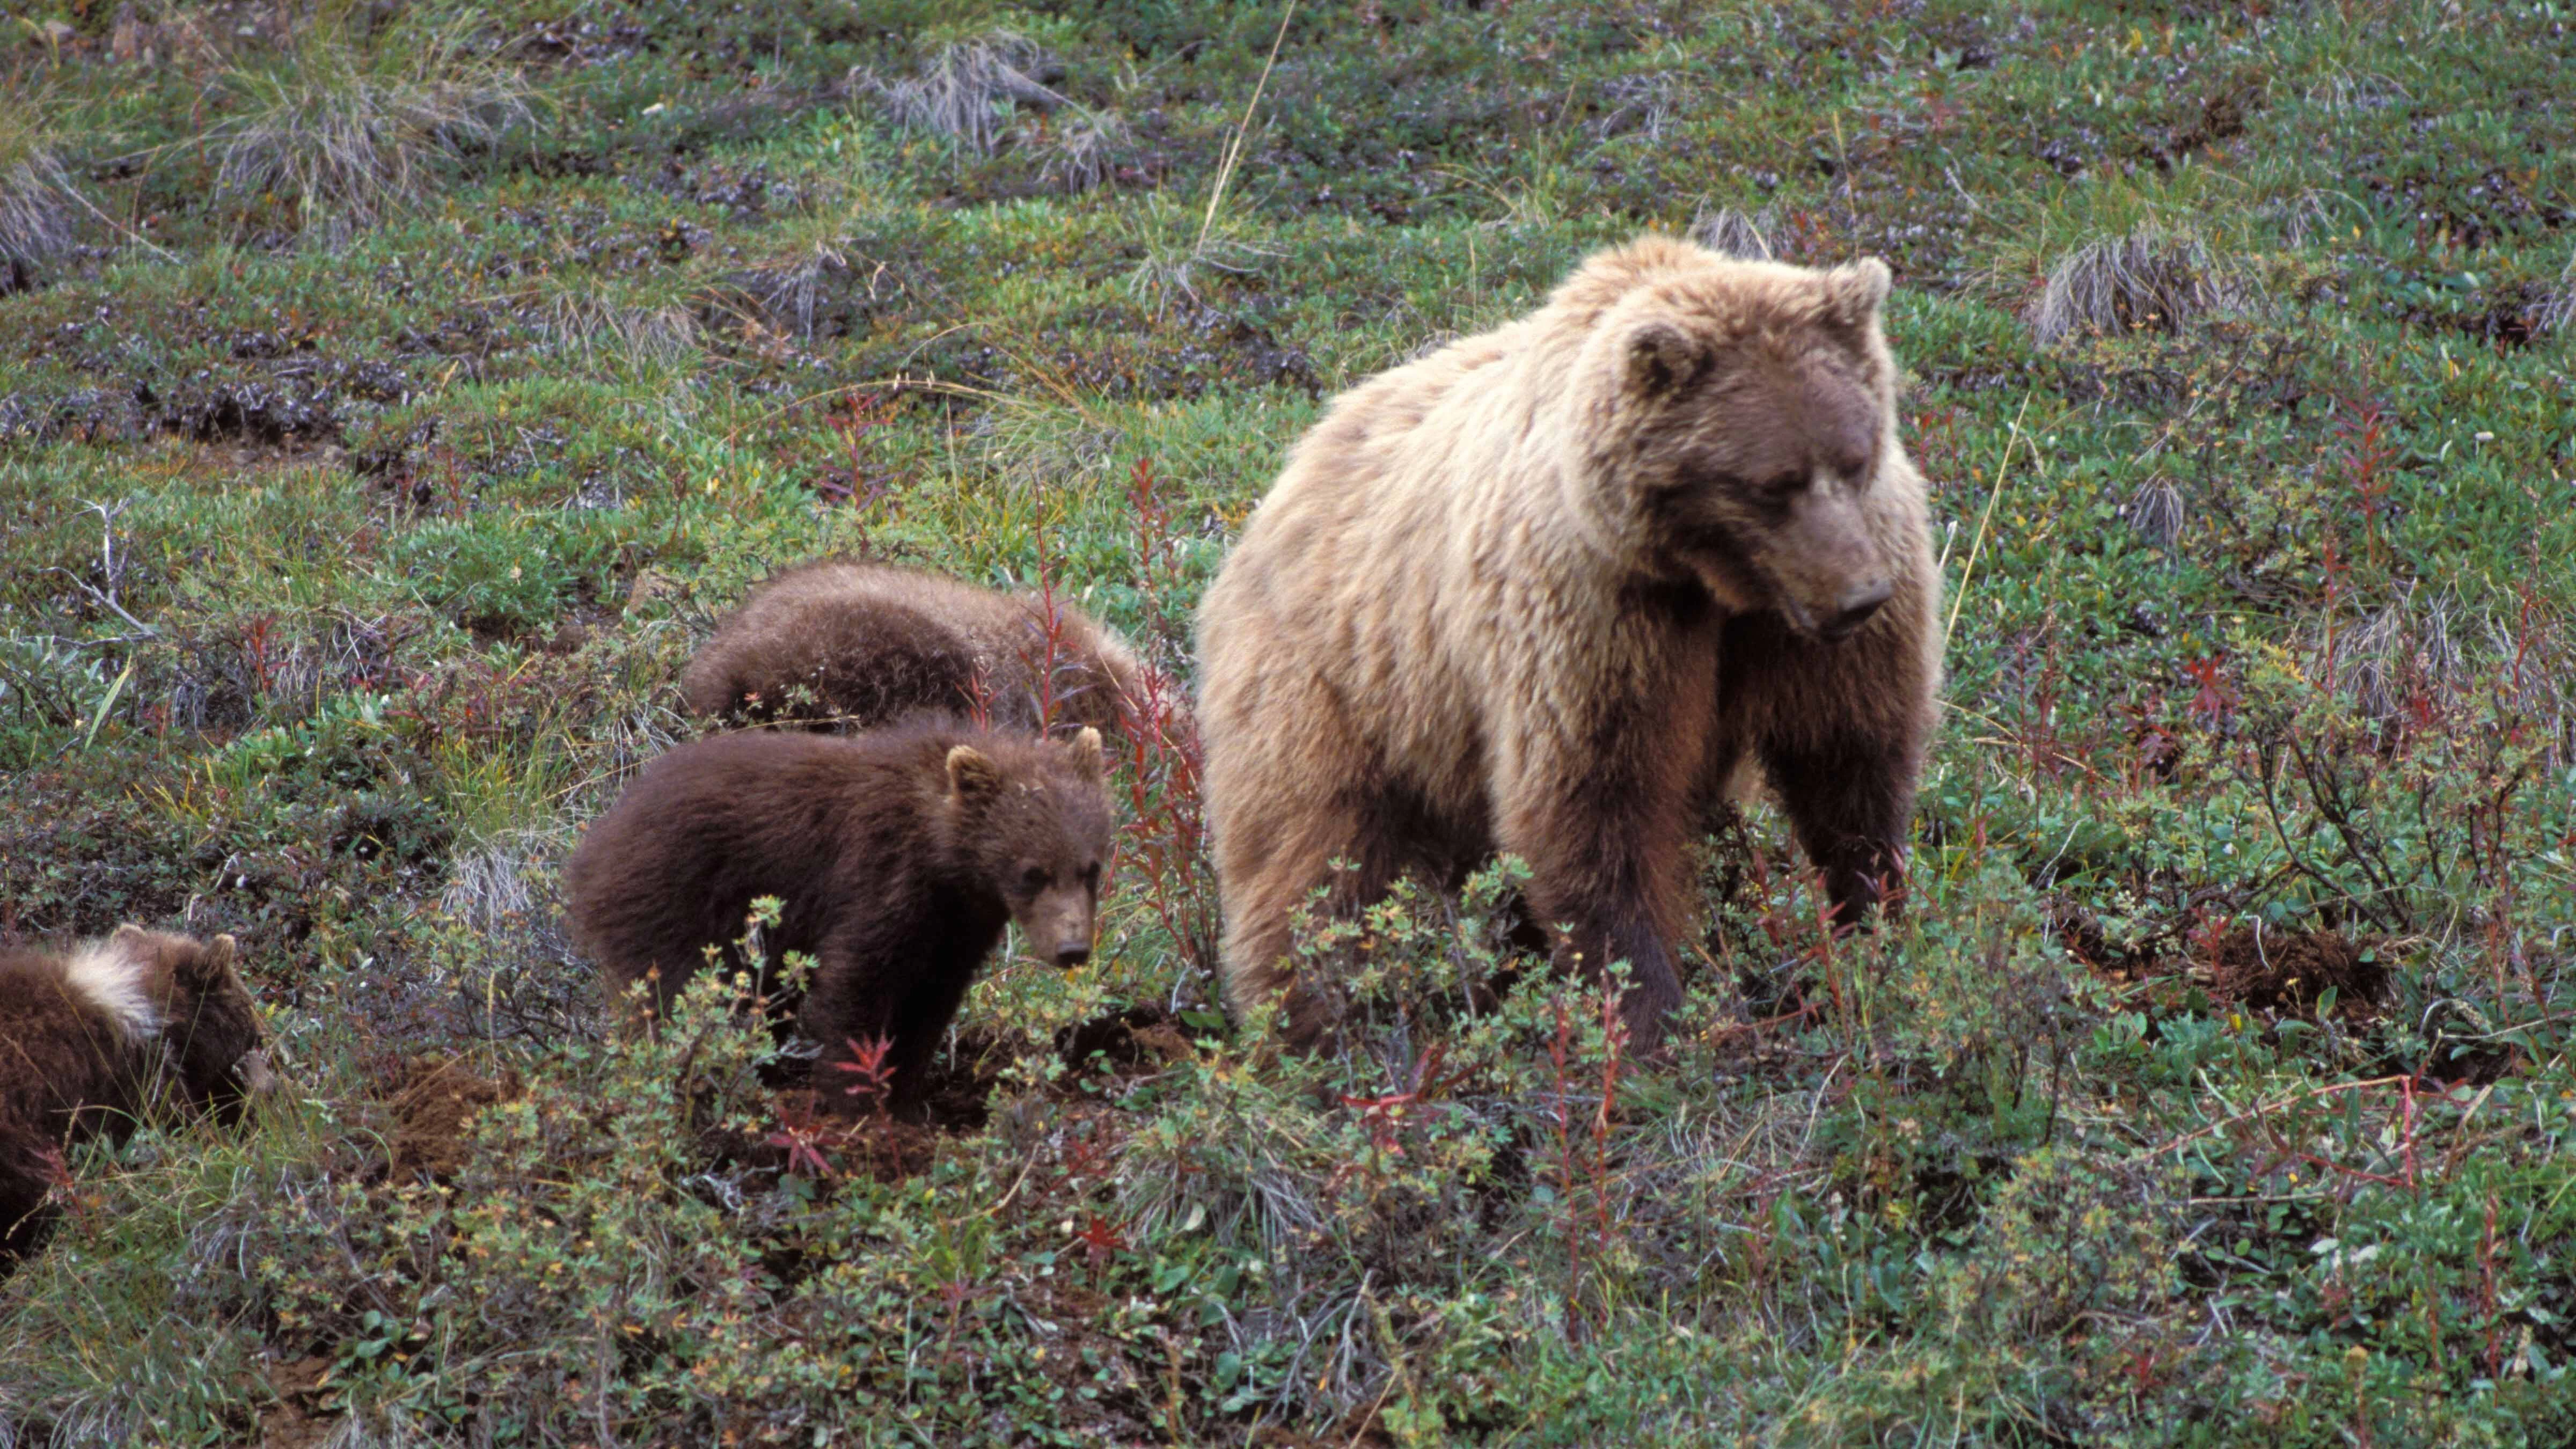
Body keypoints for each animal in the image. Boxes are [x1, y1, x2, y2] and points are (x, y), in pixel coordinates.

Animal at [561, 719, 1113, 1114]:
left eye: (1091, 868)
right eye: (1032, 872)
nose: (1072, 949)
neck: (944, 855)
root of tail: (593, 846)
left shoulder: (957, 925)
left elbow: (929, 1005)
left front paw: (907, 1101)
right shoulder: (881, 876)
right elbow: (858, 983)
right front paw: (860, 1107)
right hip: (674, 903)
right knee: (677, 996)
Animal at [1194, 235, 1942, 1052]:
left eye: (1855, 455)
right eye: (1772, 482)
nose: (1859, 595)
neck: (1711, 579)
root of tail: (1287, 476)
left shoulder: (1821, 619)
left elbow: (1850, 761)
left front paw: (1874, 928)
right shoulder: (1592, 609)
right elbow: (1592, 798)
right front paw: (1649, 1015)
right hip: (1336, 685)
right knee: (1311, 859)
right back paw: (1310, 1028)